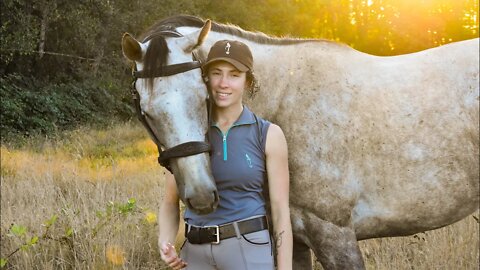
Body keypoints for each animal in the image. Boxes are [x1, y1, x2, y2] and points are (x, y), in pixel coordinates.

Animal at [123, 15, 480, 270]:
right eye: (145, 110)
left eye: (202, 94)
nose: (200, 197)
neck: (285, 102)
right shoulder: (294, 239)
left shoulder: (334, 235)